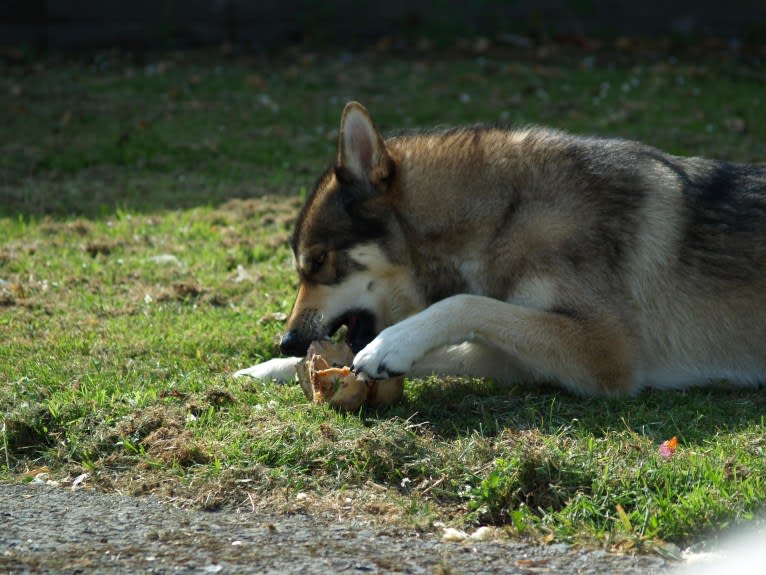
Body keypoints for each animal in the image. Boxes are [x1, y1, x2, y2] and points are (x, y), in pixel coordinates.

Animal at [236, 101, 766, 396]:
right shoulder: (516, 357)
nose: (286, 341)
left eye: (317, 264)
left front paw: (392, 345)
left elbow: (465, 304)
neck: (504, 217)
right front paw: (273, 369)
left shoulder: (605, 351)